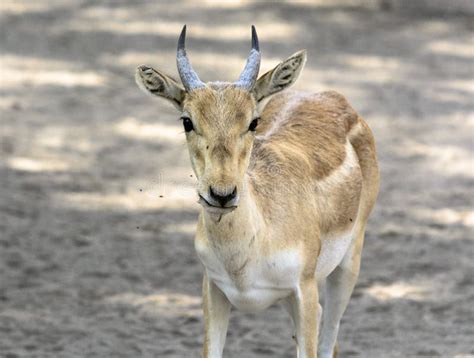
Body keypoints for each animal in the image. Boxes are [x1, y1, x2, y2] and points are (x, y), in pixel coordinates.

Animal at [135, 25, 380, 358]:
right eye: (187, 121)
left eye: (253, 121)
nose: (221, 194)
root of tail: (335, 98)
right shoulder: (214, 289)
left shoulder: (303, 289)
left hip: (347, 265)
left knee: (330, 339)